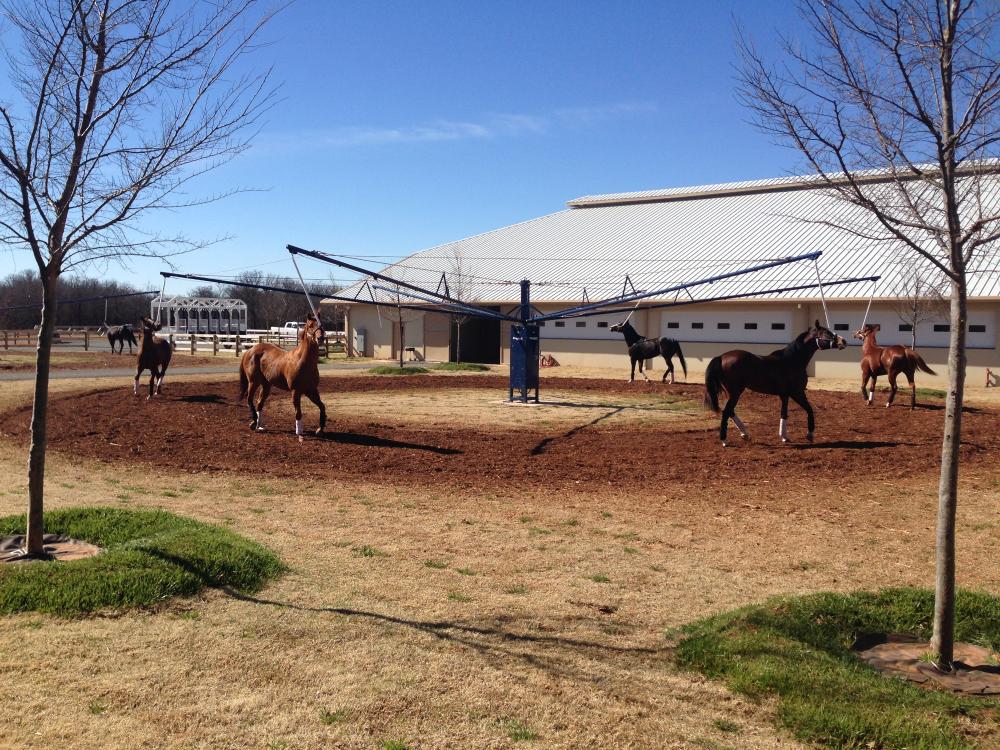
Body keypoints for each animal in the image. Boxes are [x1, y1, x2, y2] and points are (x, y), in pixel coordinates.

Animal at [704, 320, 846, 446]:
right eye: (826, 333)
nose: (843, 341)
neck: (792, 360)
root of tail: (722, 357)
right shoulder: (797, 393)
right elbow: (809, 409)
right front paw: (809, 435)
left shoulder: (785, 395)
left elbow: (784, 414)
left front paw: (784, 437)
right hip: (736, 392)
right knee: (726, 411)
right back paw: (725, 440)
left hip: (733, 392)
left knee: (730, 410)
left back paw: (745, 434)